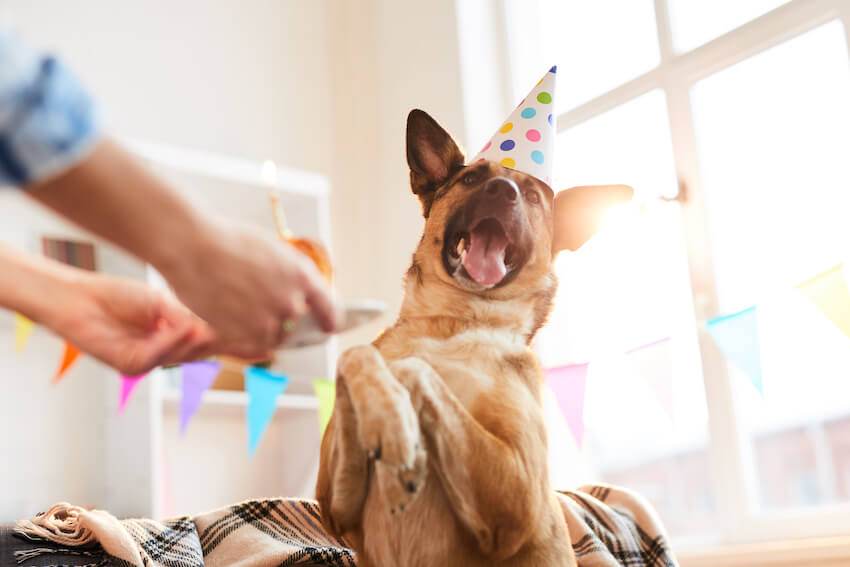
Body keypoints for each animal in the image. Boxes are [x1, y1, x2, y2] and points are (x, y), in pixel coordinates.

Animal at [314, 110, 632, 567]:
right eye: (471, 179)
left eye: (532, 196)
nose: (503, 191)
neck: (453, 322)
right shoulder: (335, 506)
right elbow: (357, 355)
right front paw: (387, 417)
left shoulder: (516, 494)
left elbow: (414, 367)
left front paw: (396, 422)